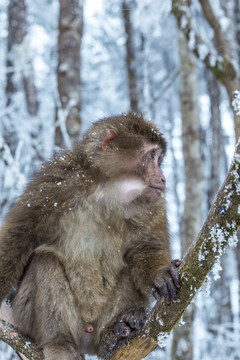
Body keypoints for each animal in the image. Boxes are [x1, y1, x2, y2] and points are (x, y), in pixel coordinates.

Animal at [0, 113, 180, 360]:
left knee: (128, 269)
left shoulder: (152, 205)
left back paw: (113, 335)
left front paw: (160, 274)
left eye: (159, 158)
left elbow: (146, 246)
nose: (162, 178)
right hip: (28, 316)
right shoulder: (56, 181)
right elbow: (20, 237)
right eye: (152, 155)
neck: (109, 188)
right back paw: (59, 342)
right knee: (45, 261)